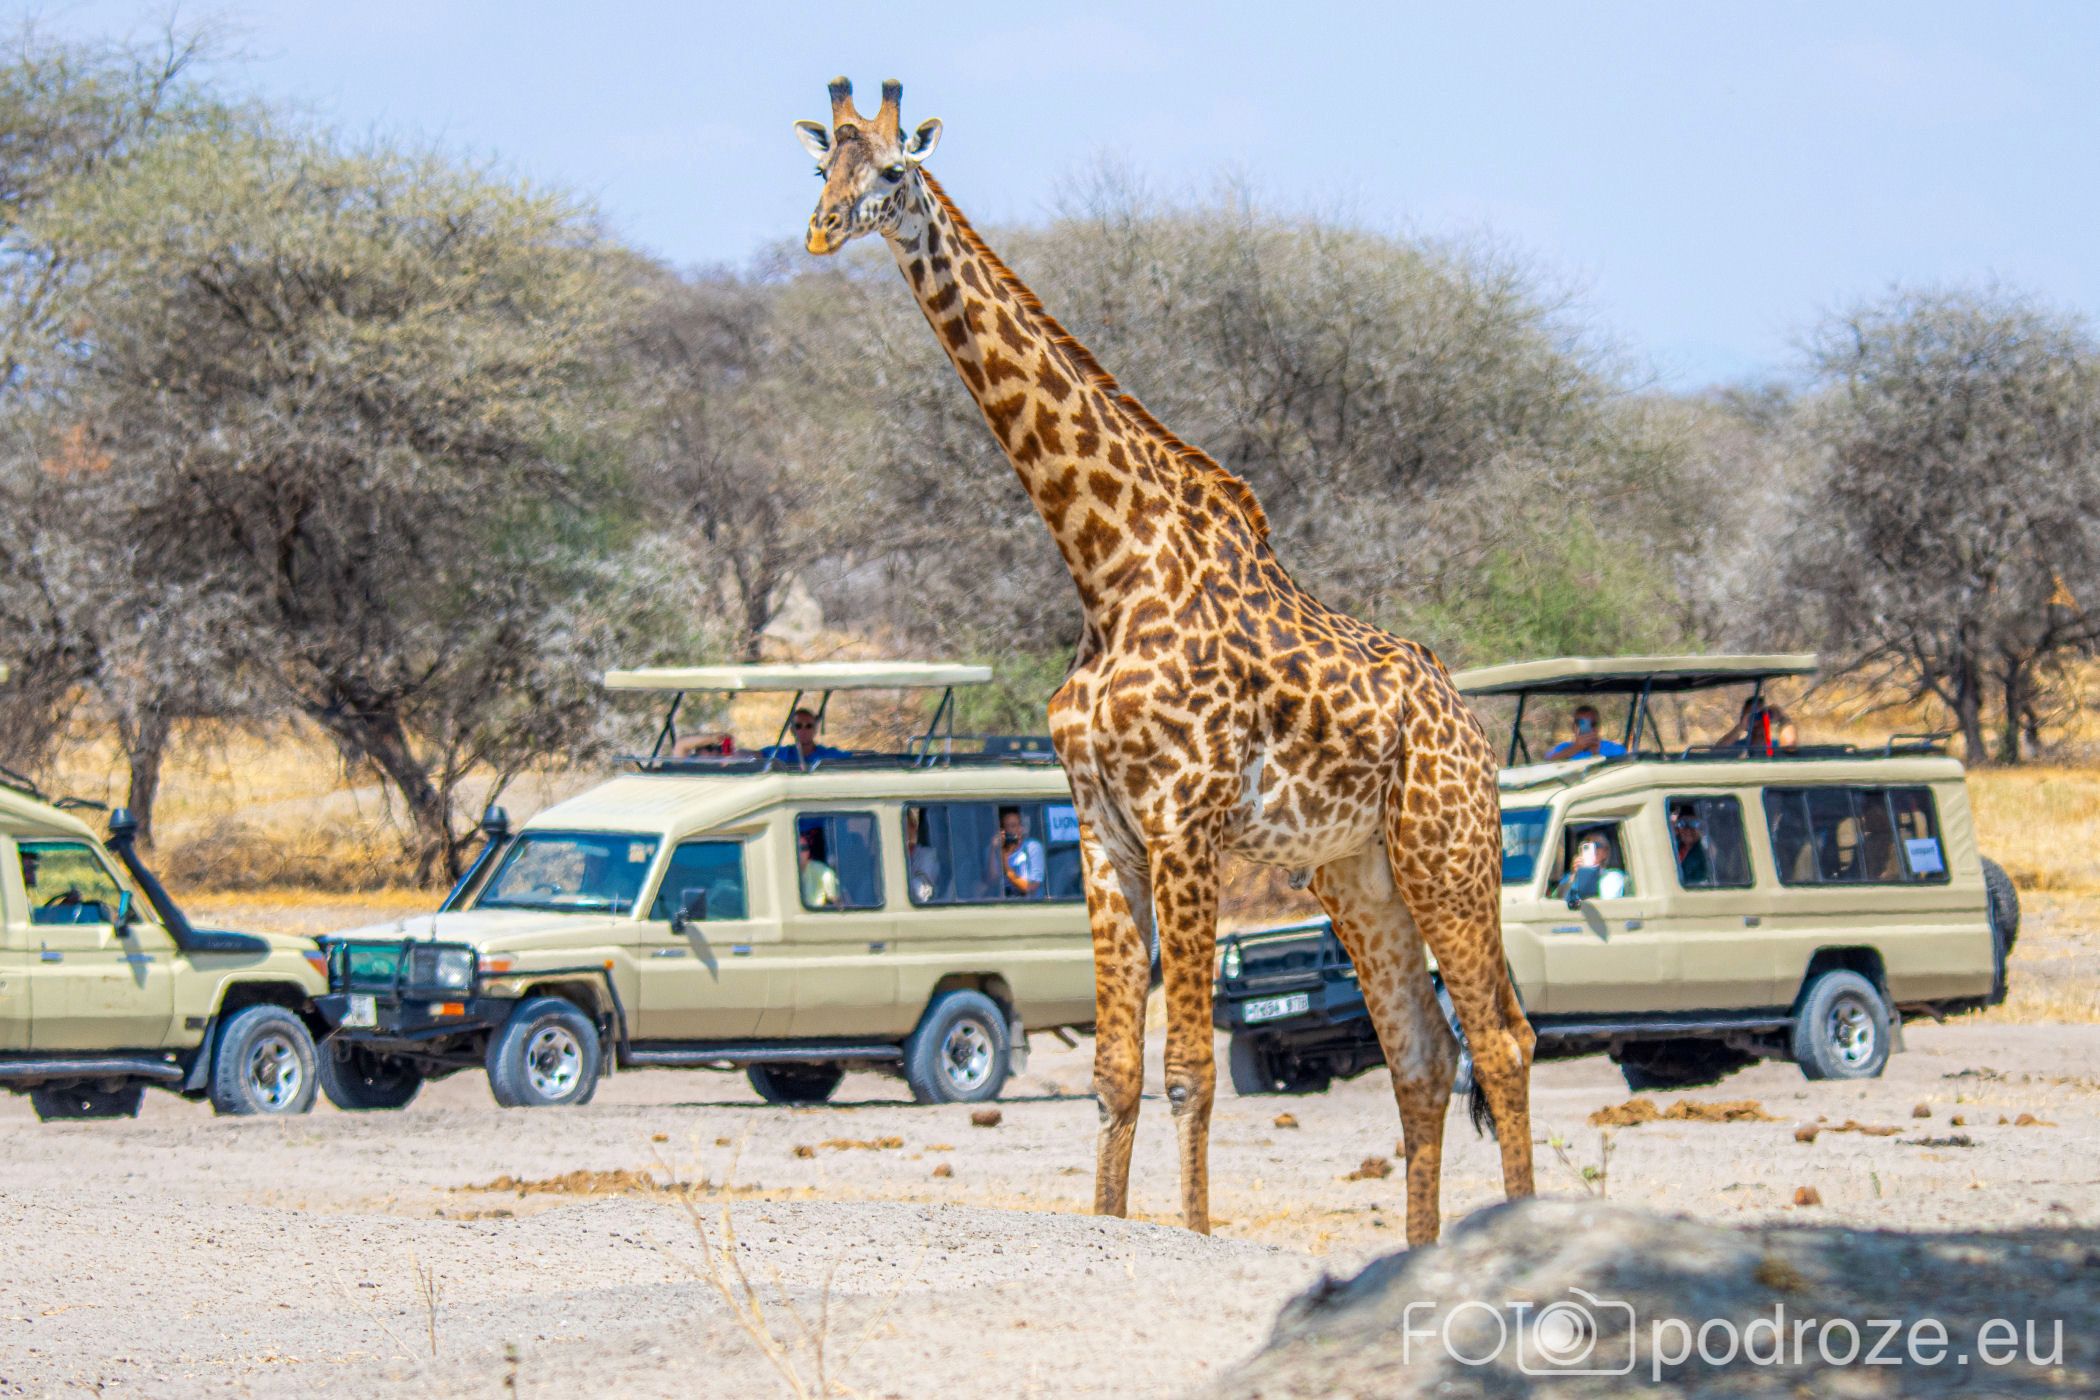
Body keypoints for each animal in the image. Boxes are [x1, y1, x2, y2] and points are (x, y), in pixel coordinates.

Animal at [795, 77, 1534, 1243]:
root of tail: (1469, 723)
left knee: (1503, 1041)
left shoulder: (1187, 819)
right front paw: (1111, 1217)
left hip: (1447, 851)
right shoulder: (1104, 827)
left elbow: (1190, 1067)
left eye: (896, 172)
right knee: (1423, 1052)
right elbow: (1114, 1072)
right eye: (821, 165)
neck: (1108, 564)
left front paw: (1189, 1230)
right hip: (1357, 872)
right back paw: (1419, 1254)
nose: (824, 230)